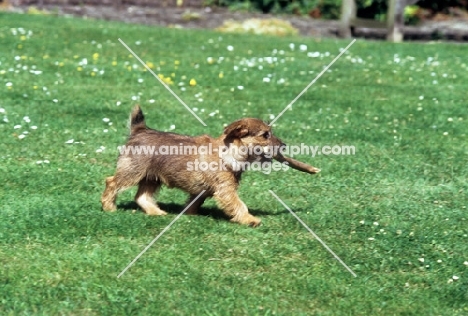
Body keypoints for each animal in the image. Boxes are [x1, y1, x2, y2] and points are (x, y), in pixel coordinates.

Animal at [102, 105, 320, 226]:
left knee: (142, 196)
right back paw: (109, 207)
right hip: (133, 172)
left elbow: (194, 203)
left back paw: (156, 212)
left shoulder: (204, 191)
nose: (284, 145)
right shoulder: (226, 190)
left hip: (152, 178)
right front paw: (250, 220)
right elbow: (238, 204)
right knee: (112, 182)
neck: (228, 153)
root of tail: (140, 130)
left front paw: (190, 214)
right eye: (265, 135)